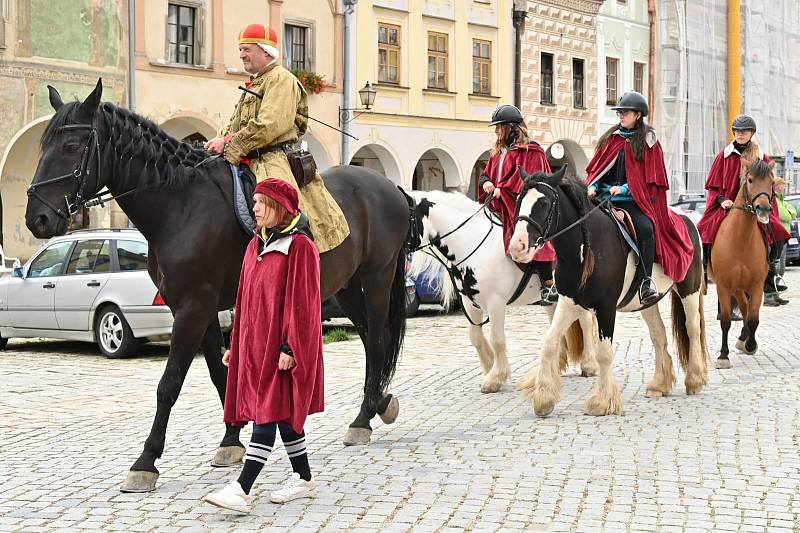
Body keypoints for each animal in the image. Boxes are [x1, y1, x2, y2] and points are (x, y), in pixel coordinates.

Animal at [26, 81, 412, 492]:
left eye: (70, 146)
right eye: (44, 145)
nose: (37, 218)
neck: (180, 204)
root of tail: (390, 187)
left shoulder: (194, 307)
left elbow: (170, 383)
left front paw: (146, 461)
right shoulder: (199, 307)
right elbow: (217, 374)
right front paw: (231, 439)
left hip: (375, 279)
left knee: (377, 340)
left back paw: (363, 419)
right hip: (346, 287)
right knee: (371, 340)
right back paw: (377, 404)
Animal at [506, 166, 708, 416]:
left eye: (543, 203)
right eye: (518, 200)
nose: (517, 247)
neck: (586, 249)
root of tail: (687, 220)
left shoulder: (606, 307)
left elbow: (603, 353)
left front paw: (602, 401)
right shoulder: (568, 302)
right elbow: (550, 343)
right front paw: (544, 398)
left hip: (689, 290)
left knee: (693, 328)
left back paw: (695, 379)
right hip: (646, 303)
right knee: (658, 334)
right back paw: (659, 385)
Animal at [712, 156, 776, 368]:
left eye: (771, 182)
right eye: (750, 180)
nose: (763, 209)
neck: (740, 239)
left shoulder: (756, 285)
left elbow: (754, 318)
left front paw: (750, 345)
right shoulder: (723, 286)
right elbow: (725, 320)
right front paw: (723, 355)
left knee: (747, 311)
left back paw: (744, 338)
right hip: (736, 288)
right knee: (743, 308)